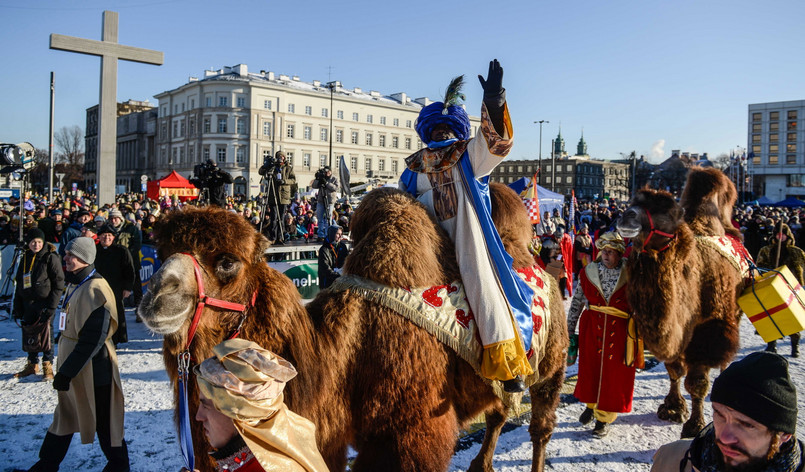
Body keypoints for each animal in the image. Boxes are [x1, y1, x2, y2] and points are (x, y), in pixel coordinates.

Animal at [138, 185, 564, 472]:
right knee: (498, 413)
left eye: (227, 262)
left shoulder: (413, 431)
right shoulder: (333, 435)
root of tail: (540, 264)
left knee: (540, 424)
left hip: (551, 363)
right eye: (160, 252)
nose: (156, 296)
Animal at [620, 167, 744, 438]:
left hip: (732, 312)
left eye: (667, 211)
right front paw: (673, 408)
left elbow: (697, 383)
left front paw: (694, 425)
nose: (626, 215)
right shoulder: (669, 330)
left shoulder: (705, 332)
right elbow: (674, 370)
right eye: (634, 201)